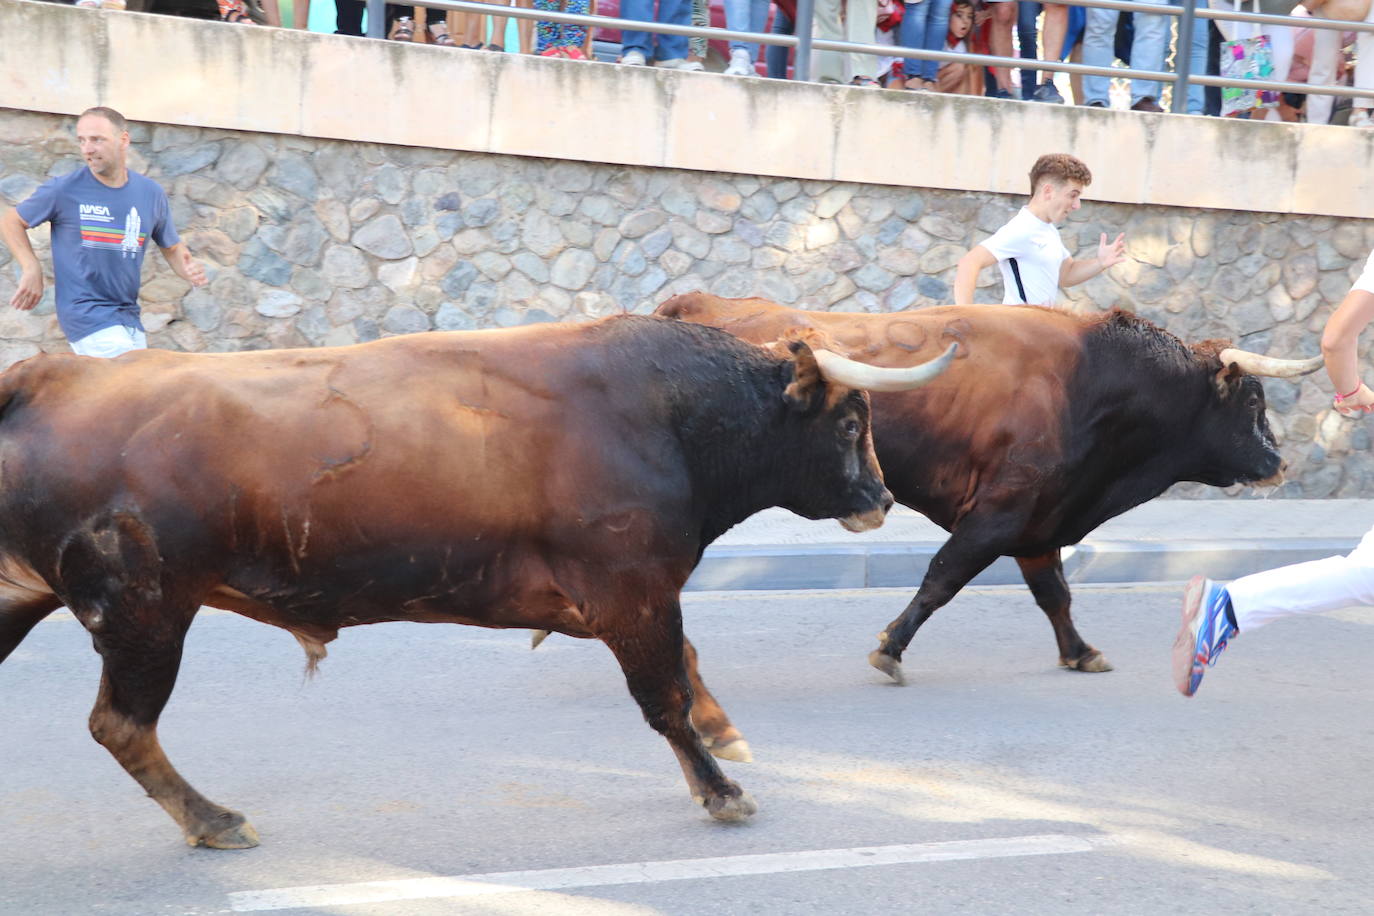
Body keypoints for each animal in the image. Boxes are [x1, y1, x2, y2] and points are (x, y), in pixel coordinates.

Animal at [0, 317, 956, 851]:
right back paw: (214, 820)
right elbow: (664, 696)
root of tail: (48, 377)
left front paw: (726, 743)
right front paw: (720, 792)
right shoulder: (633, 588)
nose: (881, 499)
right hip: (145, 613)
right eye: (850, 419)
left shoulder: (616, 597)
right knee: (122, 725)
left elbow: (684, 668)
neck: (668, 412)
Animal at [659, 293, 1324, 686]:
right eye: (1253, 401)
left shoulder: (1039, 521)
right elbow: (942, 577)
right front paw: (891, 648)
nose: (1277, 462)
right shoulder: (1000, 513)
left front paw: (1081, 651)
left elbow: (1055, 594)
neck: (1093, 381)